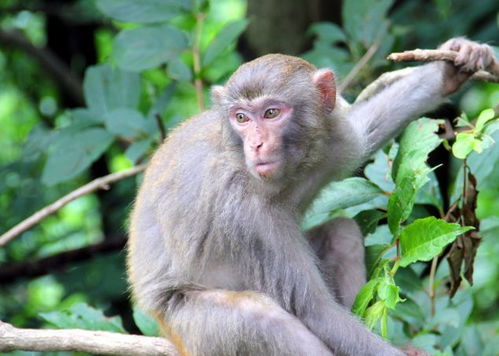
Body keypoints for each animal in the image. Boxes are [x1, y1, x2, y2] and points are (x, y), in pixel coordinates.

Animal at [128, 37, 496, 354]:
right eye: (241, 118)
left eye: (271, 113)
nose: (256, 144)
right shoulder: (242, 211)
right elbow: (313, 309)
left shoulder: (333, 139)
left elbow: (368, 128)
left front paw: (451, 69)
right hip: (186, 322)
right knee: (259, 317)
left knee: (342, 234)